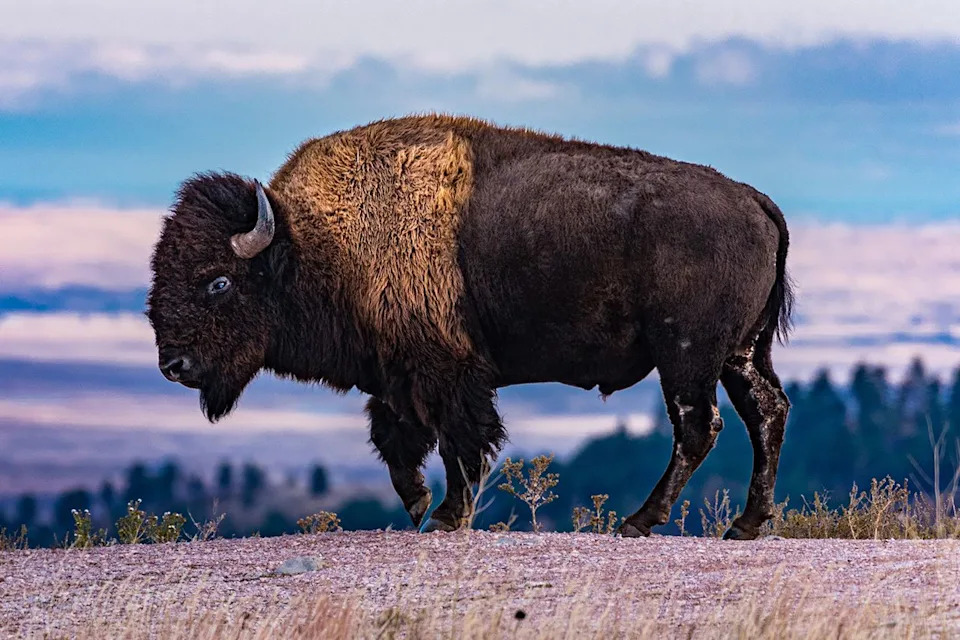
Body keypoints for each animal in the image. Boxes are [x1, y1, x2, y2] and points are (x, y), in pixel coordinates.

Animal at [147, 115, 792, 539]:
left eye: (218, 282)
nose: (172, 365)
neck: (316, 242)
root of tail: (755, 201)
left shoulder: (447, 373)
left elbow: (459, 441)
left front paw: (443, 516)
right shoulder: (396, 375)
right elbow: (397, 441)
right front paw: (417, 505)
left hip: (686, 356)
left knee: (698, 426)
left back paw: (639, 522)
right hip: (739, 354)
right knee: (767, 412)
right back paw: (745, 524)